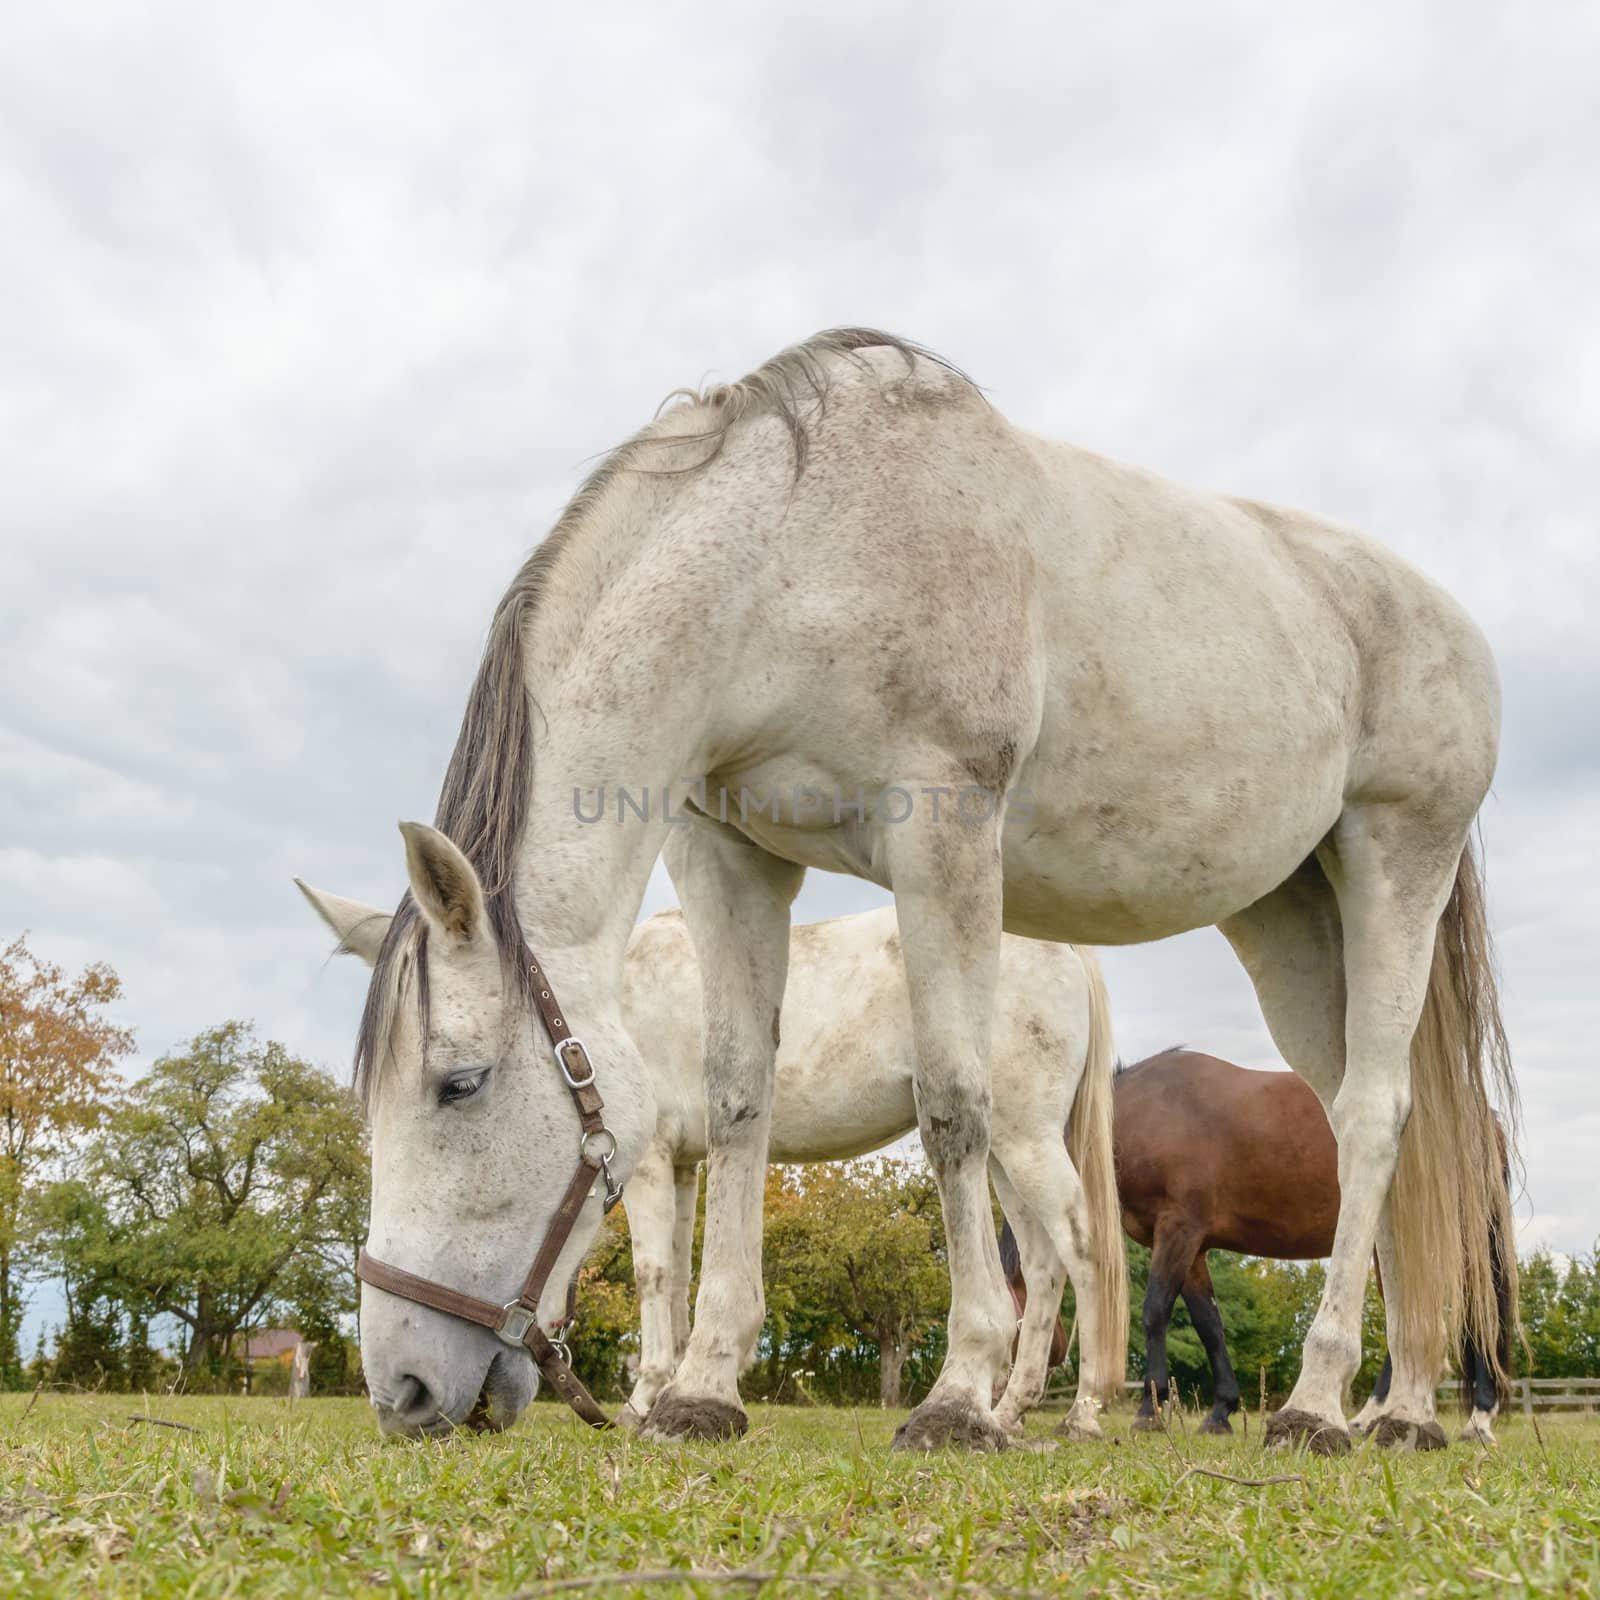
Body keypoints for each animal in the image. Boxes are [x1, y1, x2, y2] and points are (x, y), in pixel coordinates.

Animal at [611, 902, 1126, 1440]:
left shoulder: (650, 1158)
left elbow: (651, 1272)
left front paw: (644, 1394)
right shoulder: (683, 1164)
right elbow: (677, 1277)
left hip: (1028, 1139)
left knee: (1083, 1251)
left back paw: (1082, 1411)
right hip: (1008, 1153)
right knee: (1044, 1266)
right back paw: (1009, 1411)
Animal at [998, 1049, 1510, 1440]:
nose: (998, 1400)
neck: (1144, 1117)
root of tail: (1483, 1118)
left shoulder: (1177, 1230)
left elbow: (1155, 1311)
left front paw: (1150, 1410)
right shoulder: (1194, 1248)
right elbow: (1209, 1325)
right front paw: (1220, 1412)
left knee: (1471, 1318)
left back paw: (1476, 1418)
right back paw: (1374, 1417)